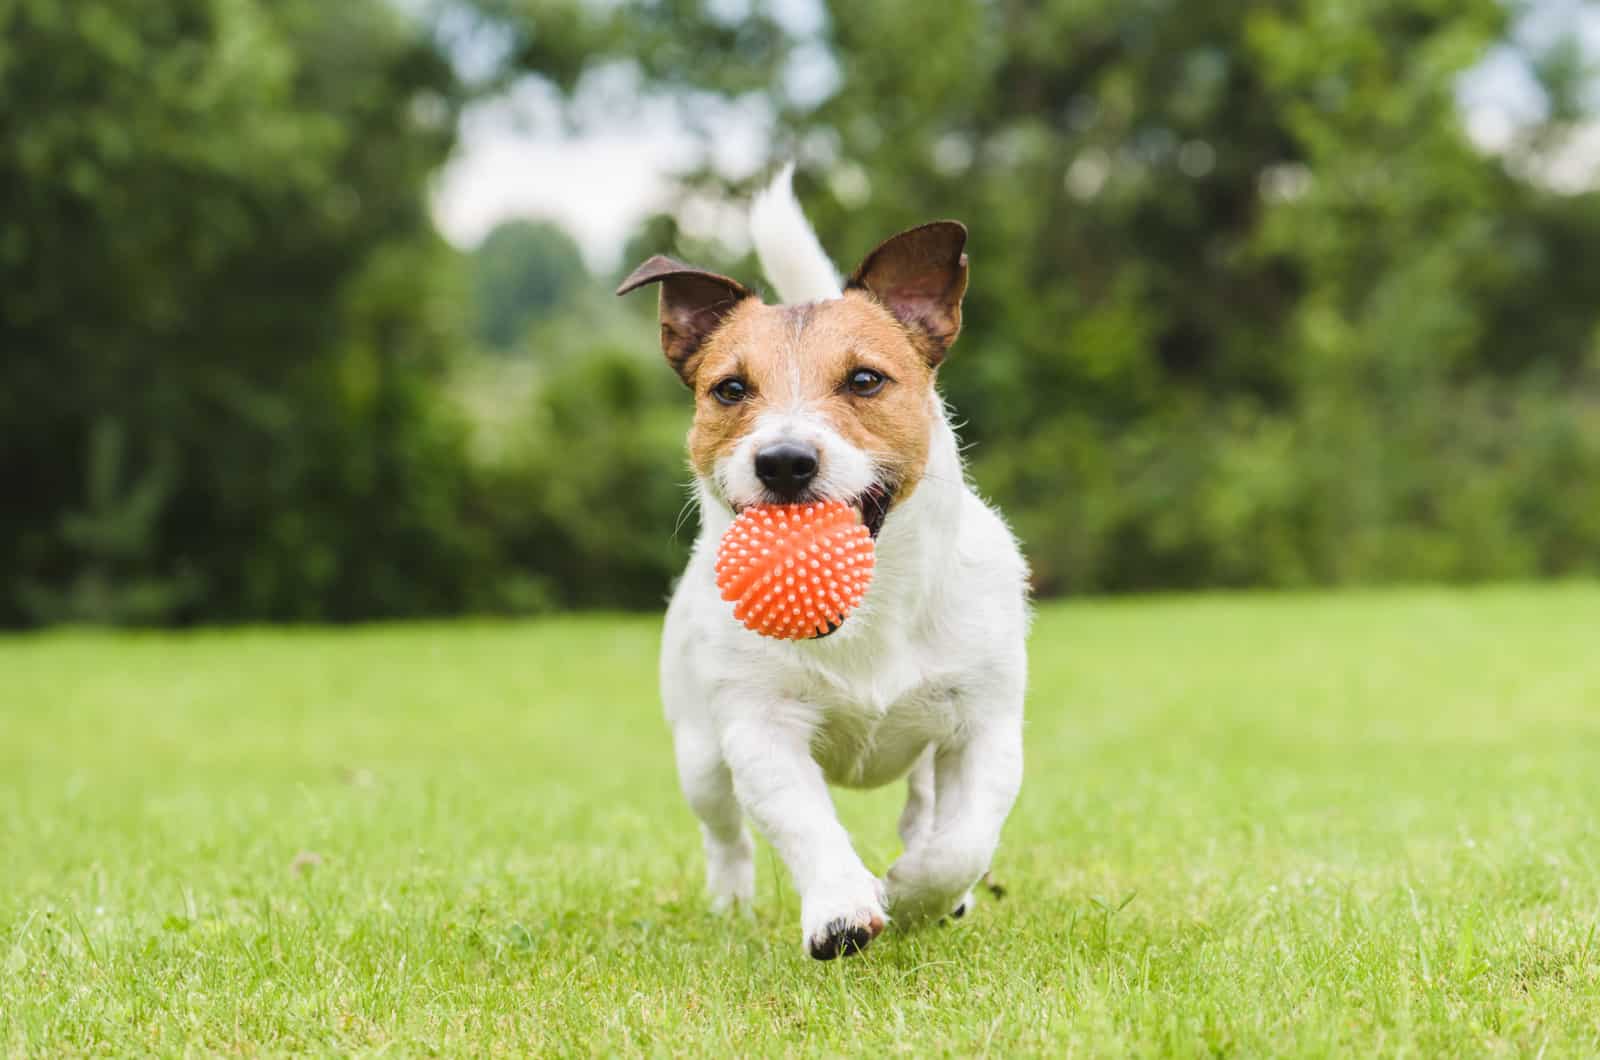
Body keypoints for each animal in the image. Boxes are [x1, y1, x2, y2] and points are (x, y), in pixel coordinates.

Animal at [617, 166, 1030, 960]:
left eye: (865, 380)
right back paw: (731, 902)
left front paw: (916, 892)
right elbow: (805, 822)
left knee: (925, 808)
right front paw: (842, 908)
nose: (783, 461)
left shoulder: (985, 725)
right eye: (731, 389)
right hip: (699, 754)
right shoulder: (760, 730)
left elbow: (962, 842)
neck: (869, 611)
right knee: (725, 835)